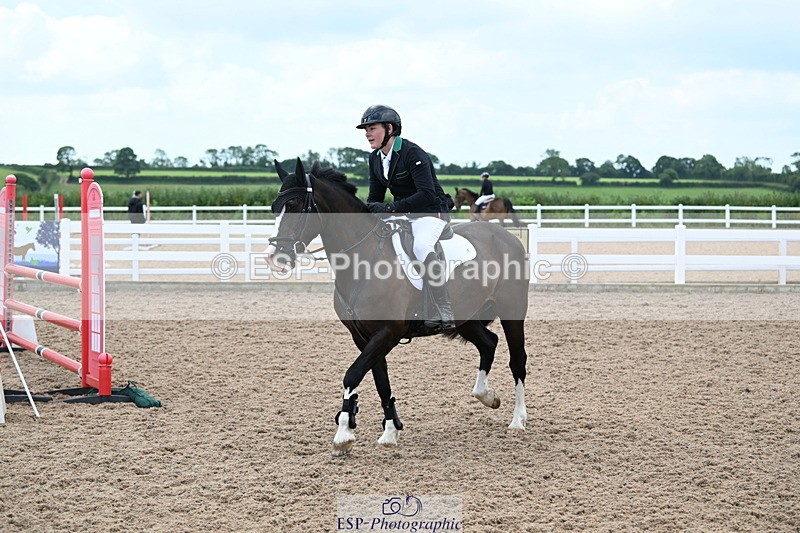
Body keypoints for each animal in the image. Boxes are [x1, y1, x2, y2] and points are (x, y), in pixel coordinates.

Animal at [266, 159, 530, 456]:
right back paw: (487, 396)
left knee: (517, 359)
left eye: (295, 205)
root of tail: (507, 237)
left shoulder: (387, 333)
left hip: (512, 310)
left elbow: (352, 374)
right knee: (488, 343)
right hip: (466, 316)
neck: (363, 259)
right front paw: (390, 433)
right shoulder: (364, 336)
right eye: (275, 207)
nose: (275, 258)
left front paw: (344, 434)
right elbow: (380, 382)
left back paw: (518, 421)